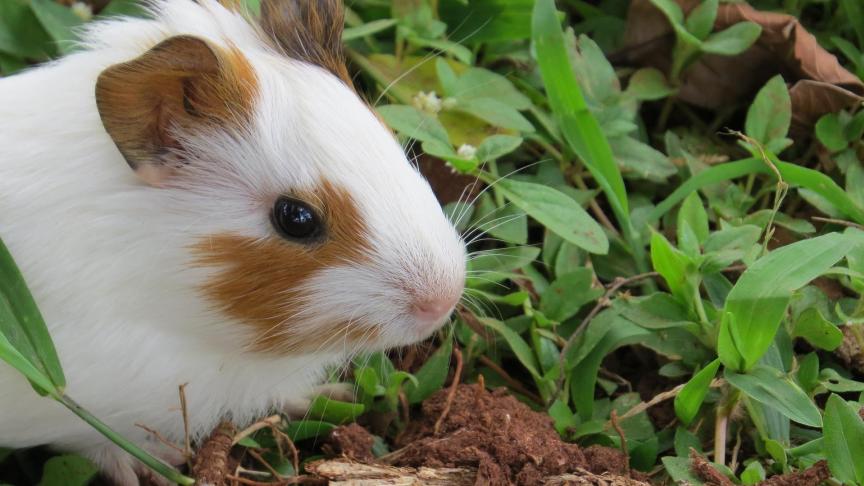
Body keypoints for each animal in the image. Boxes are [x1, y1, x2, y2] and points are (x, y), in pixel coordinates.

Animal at [0, 0, 466, 483]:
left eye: (392, 141)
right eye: (295, 218)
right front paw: (149, 468)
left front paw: (338, 395)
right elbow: (99, 442)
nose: (443, 300)